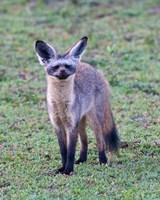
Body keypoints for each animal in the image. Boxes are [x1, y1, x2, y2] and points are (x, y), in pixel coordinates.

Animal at [35, 36, 120, 175]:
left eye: (67, 66)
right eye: (56, 67)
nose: (62, 71)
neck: (61, 104)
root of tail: (95, 70)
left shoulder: (71, 125)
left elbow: (70, 152)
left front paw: (68, 170)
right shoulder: (58, 125)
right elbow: (64, 151)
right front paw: (63, 168)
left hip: (94, 120)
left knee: (100, 139)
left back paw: (103, 160)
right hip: (81, 122)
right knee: (85, 140)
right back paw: (82, 159)